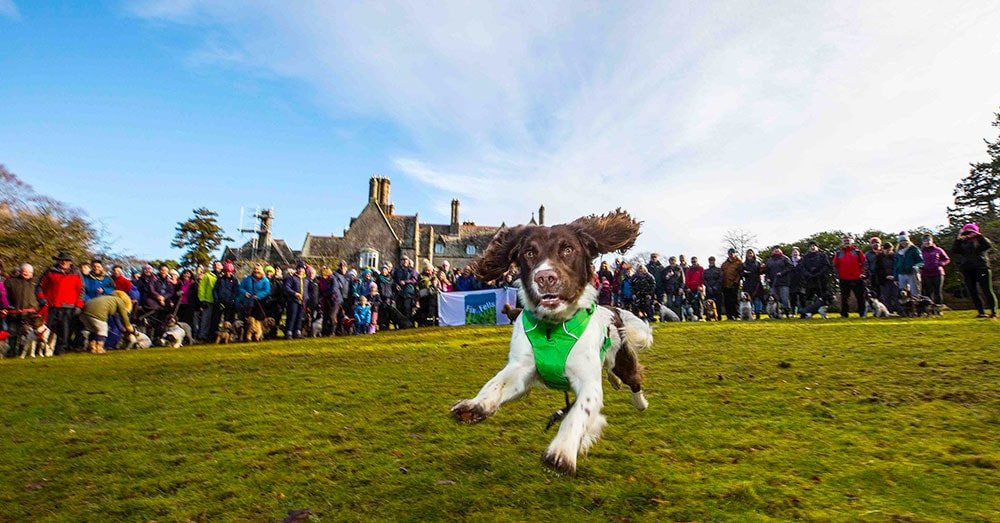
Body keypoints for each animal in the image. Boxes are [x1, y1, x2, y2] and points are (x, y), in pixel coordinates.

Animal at [452, 209, 652, 474]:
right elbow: (496, 384)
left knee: (633, 380)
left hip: (622, 359)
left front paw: (561, 452)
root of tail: (612, 308)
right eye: (529, 253)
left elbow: (578, 413)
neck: (552, 328)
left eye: (567, 249)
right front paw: (474, 406)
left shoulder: (588, 382)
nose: (545, 277)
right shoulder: (522, 368)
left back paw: (640, 403)